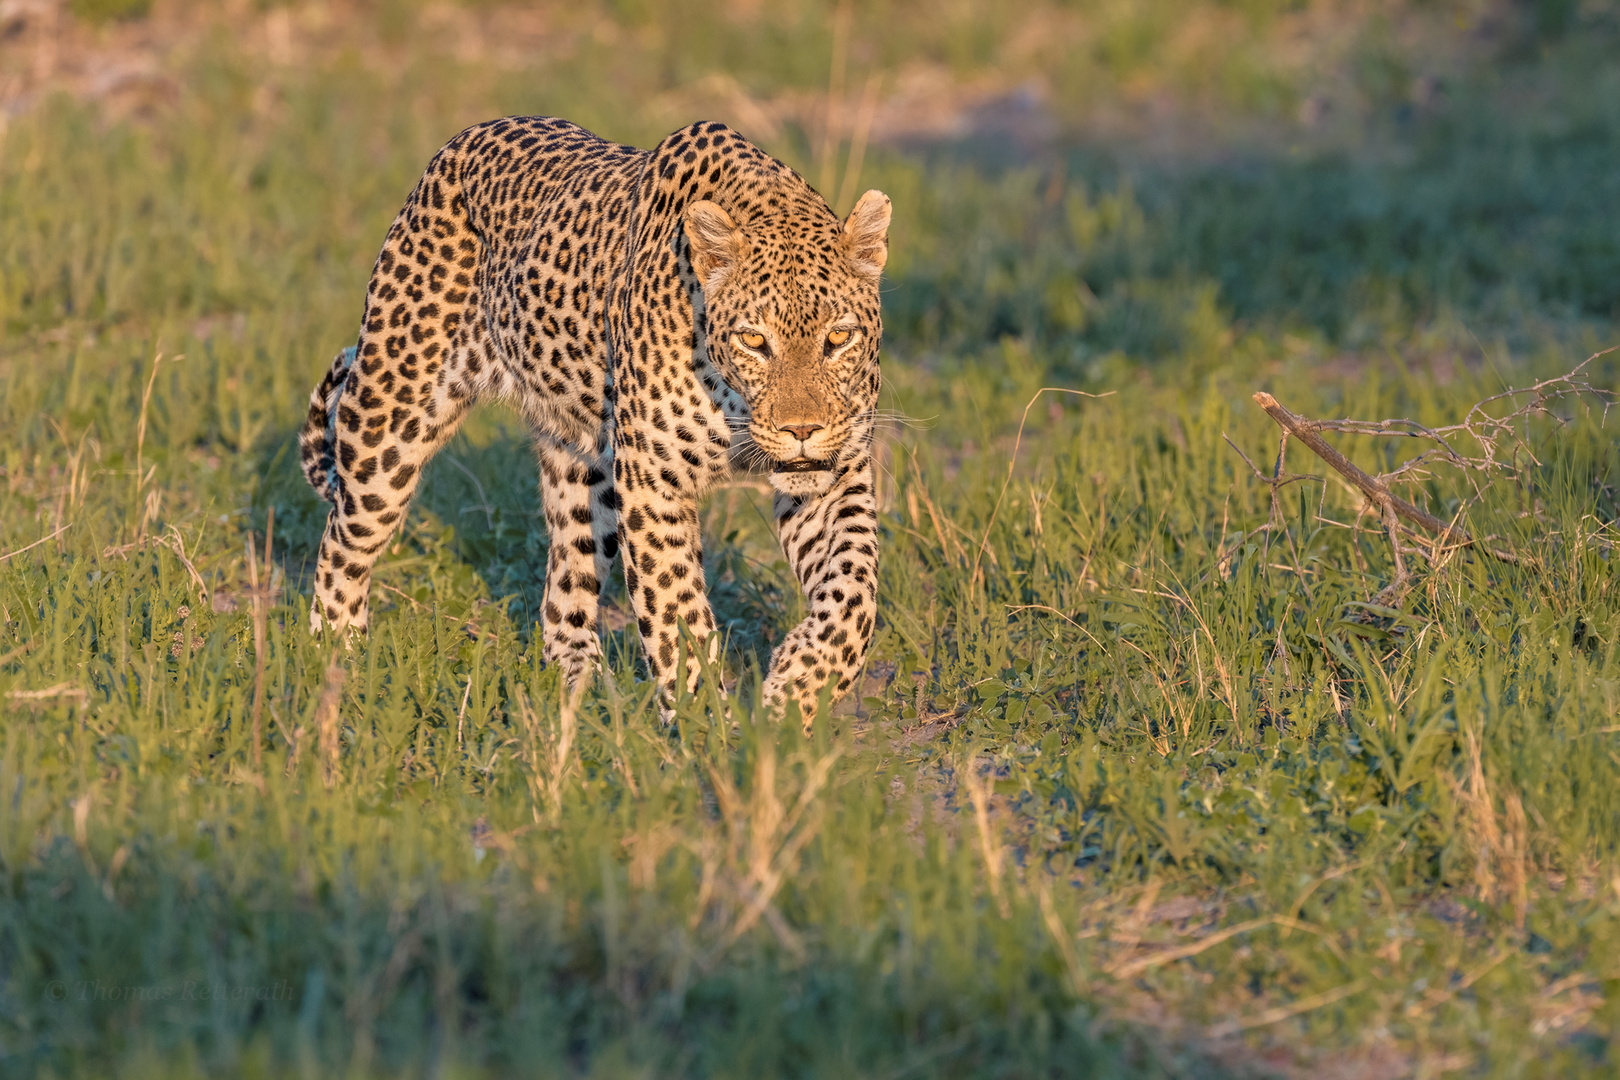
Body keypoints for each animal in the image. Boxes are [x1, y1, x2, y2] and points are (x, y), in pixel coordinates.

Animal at [298, 118, 894, 722]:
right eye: (754, 341)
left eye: (838, 338)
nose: (802, 431)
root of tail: (460, 141)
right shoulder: (654, 485)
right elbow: (678, 616)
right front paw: (708, 728)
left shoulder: (836, 475)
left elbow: (856, 587)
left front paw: (799, 688)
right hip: (387, 422)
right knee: (342, 544)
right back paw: (337, 661)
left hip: (584, 474)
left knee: (564, 591)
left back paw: (578, 697)